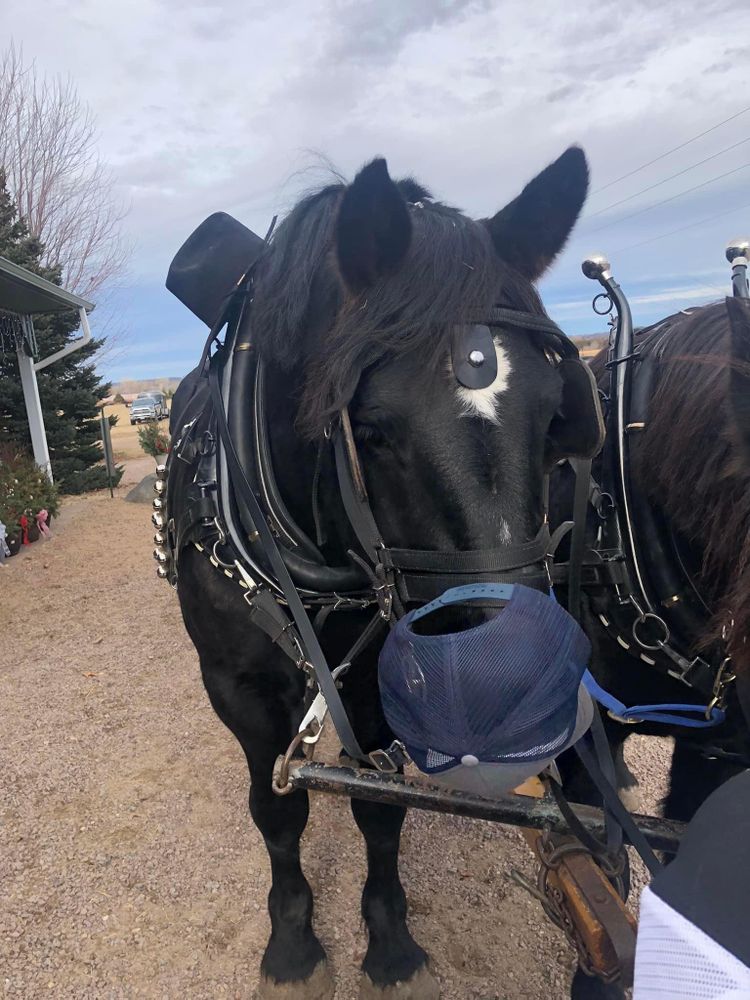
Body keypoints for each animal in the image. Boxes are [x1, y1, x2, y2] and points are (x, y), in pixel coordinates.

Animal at [167, 150, 604, 1000]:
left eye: (554, 418)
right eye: (369, 429)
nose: (517, 684)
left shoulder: (377, 677)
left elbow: (379, 806)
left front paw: (389, 937)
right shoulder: (234, 685)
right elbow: (276, 814)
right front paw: (293, 940)